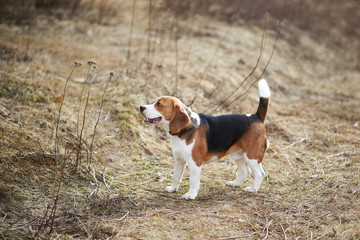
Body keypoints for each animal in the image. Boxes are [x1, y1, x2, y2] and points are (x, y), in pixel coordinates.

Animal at [140, 79, 270, 200]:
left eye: (159, 104)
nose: (141, 107)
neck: (183, 131)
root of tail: (256, 116)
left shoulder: (195, 163)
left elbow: (193, 181)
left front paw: (191, 195)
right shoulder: (179, 160)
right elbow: (176, 176)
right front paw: (173, 188)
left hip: (252, 156)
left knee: (260, 173)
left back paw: (253, 189)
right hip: (237, 155)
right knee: (245, 172)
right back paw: (235, 183)